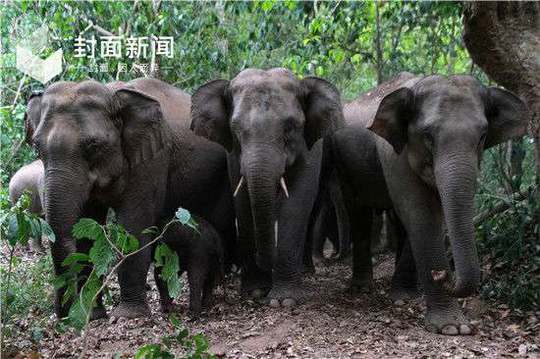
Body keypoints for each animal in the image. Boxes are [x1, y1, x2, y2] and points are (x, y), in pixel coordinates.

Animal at [23, 77, 235, 320]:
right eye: (36, 146)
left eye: (93, 145)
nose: (64, 315)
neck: (111, 94)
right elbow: (86, 229)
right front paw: (94, 315)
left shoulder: (152, 159)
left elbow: (134, 224)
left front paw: (127, 315)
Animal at [192, 68, 344, 306]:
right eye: (235, 129)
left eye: (291, 126)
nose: (265, 261)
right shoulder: (233, 154)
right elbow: (243, 204)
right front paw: (255, 292)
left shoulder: (310, 150)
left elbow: (296, 204)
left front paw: (283, 300)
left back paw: (304, 272)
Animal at [332, 72, 528, 334]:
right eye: (427, 135)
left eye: (483, 136)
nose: (441, 274)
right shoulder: (394, 155)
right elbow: (420, 214)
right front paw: (451, 327)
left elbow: (433, 215)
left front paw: (406, 298)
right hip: (344, 167)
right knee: (358, 212)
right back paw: (362, 288)